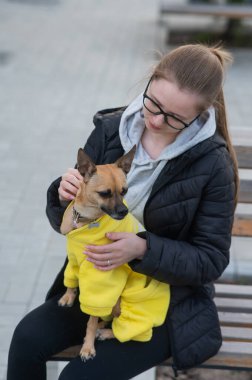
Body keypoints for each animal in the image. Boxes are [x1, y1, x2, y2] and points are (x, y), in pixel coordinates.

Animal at [58, 147, 139, 360]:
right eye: (104, 193)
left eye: (124, 191)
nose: (124, 211)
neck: (85, 220)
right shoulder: (73, 259)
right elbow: (71, 279)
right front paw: (68, 296)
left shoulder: (99, 283)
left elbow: (91, 320)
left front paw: (87, 347)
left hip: (120, 301)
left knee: (122, 325)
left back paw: (105, 332)